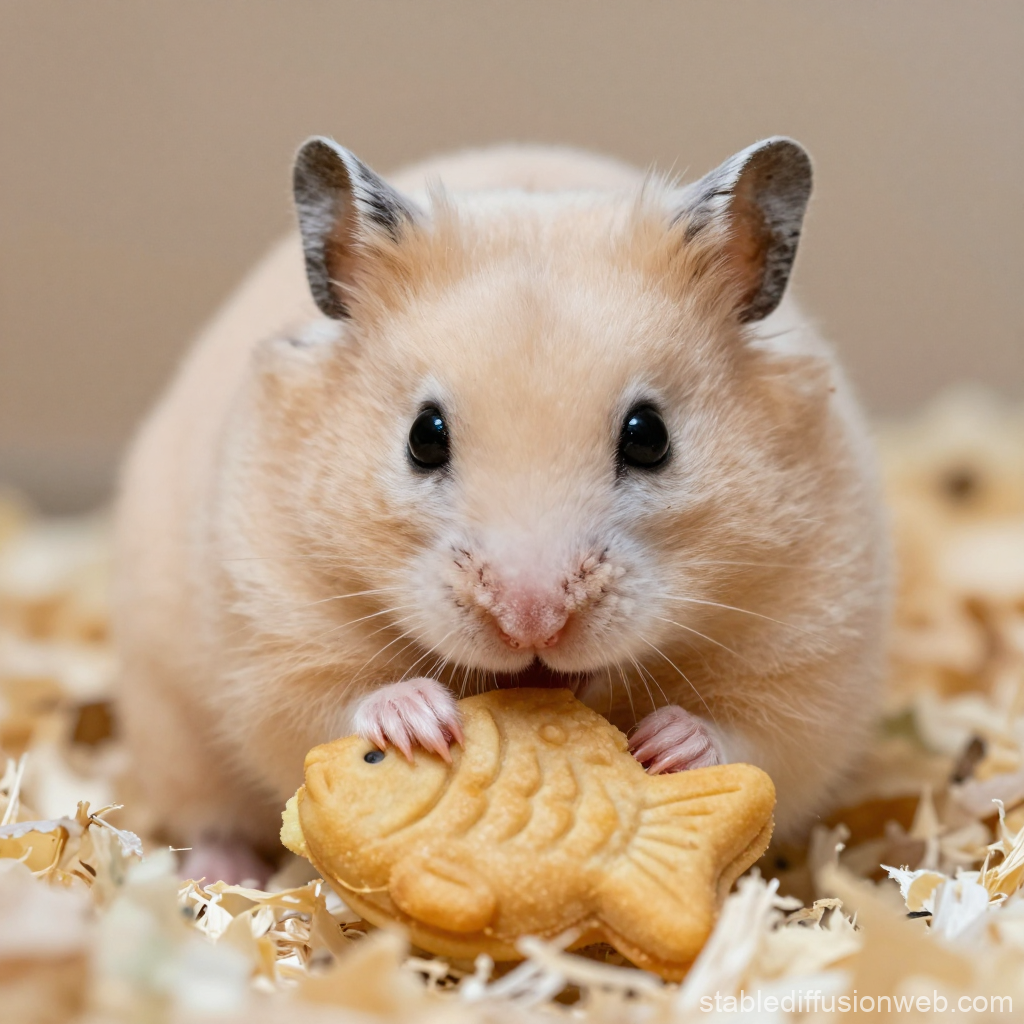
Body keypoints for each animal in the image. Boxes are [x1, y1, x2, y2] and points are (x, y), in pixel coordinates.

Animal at [113, 138, 890, 882]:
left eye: (650, 436)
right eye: (424, 436)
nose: (531, 621)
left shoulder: (812, 652)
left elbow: (756, 737)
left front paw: (666, 742)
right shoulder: (274, 631)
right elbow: (330, 703)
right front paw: (421, 722)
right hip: (169, 724)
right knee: (207, 815)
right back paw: (218, 876)